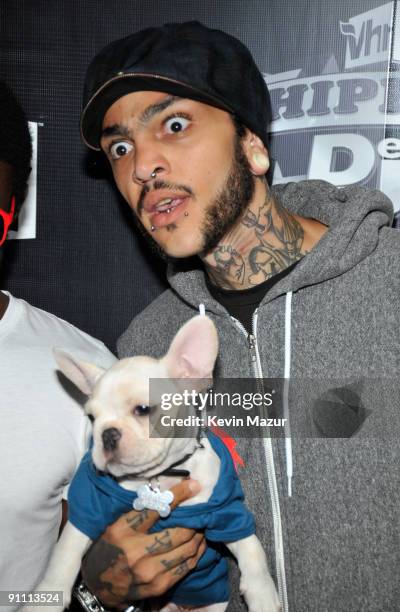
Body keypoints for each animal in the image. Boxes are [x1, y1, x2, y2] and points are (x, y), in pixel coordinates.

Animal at [28, 316, 280, 612]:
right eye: (91, 418)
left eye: (143, 410)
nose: (107, 434)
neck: (160, 477)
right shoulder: (89, 507)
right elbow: (64, 554)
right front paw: (44, 600)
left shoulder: (226, 512)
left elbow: (252, 549)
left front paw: (262, 594)